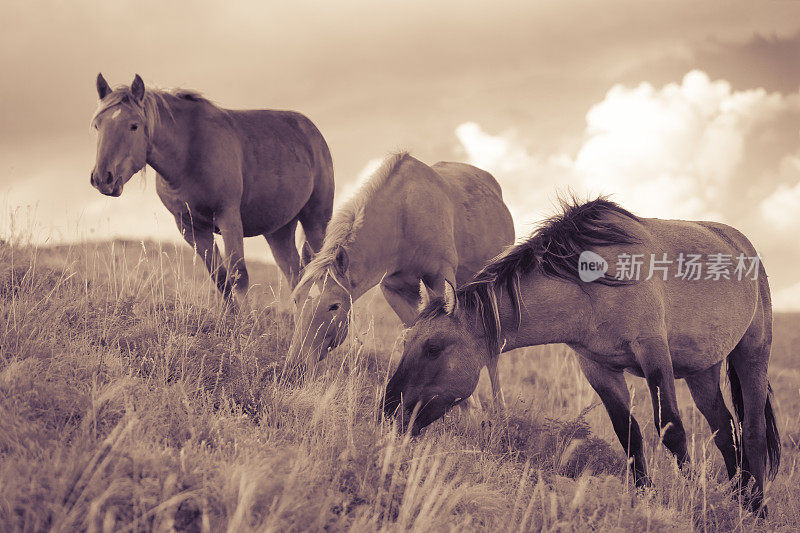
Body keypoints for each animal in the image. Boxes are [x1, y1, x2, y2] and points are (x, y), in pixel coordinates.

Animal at [89, 73, 332, 306]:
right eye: (97, 125)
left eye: (134, 125)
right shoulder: (191, 228)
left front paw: (247, 320)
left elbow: (238, 275)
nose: (102, 178)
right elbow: (221, 278)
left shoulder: (228, 217)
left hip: (316, 220)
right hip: (279, 230)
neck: (189, 152)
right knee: (296, 277)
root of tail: (313, 132)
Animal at [288, 150, 512, 376]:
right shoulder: (393, 291)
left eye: (334, 306)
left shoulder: (441, 280)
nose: (296, 365)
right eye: (296, 299)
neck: (404, 217)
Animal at [388, 196, 780, 516]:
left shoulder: (654, 354)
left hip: (753, 354)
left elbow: (671, 431)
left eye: (433, 348)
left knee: (752, 430)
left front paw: (693, 501)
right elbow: (629, 435)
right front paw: (645, 499)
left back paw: (757, 508)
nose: (390, 411)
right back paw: (739, 498)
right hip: (703, 371)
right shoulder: (598, 368)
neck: (592, 283)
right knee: (725, 430)